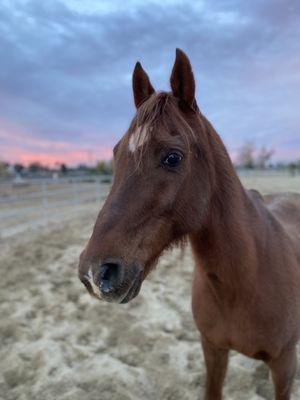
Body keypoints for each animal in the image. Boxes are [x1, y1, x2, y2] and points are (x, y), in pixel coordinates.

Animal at [79, 48, 300, 398]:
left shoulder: (284, 365)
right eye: (116, 154)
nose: (94, 273)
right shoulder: (212, 350)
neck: (245, 280)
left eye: (173, 157)